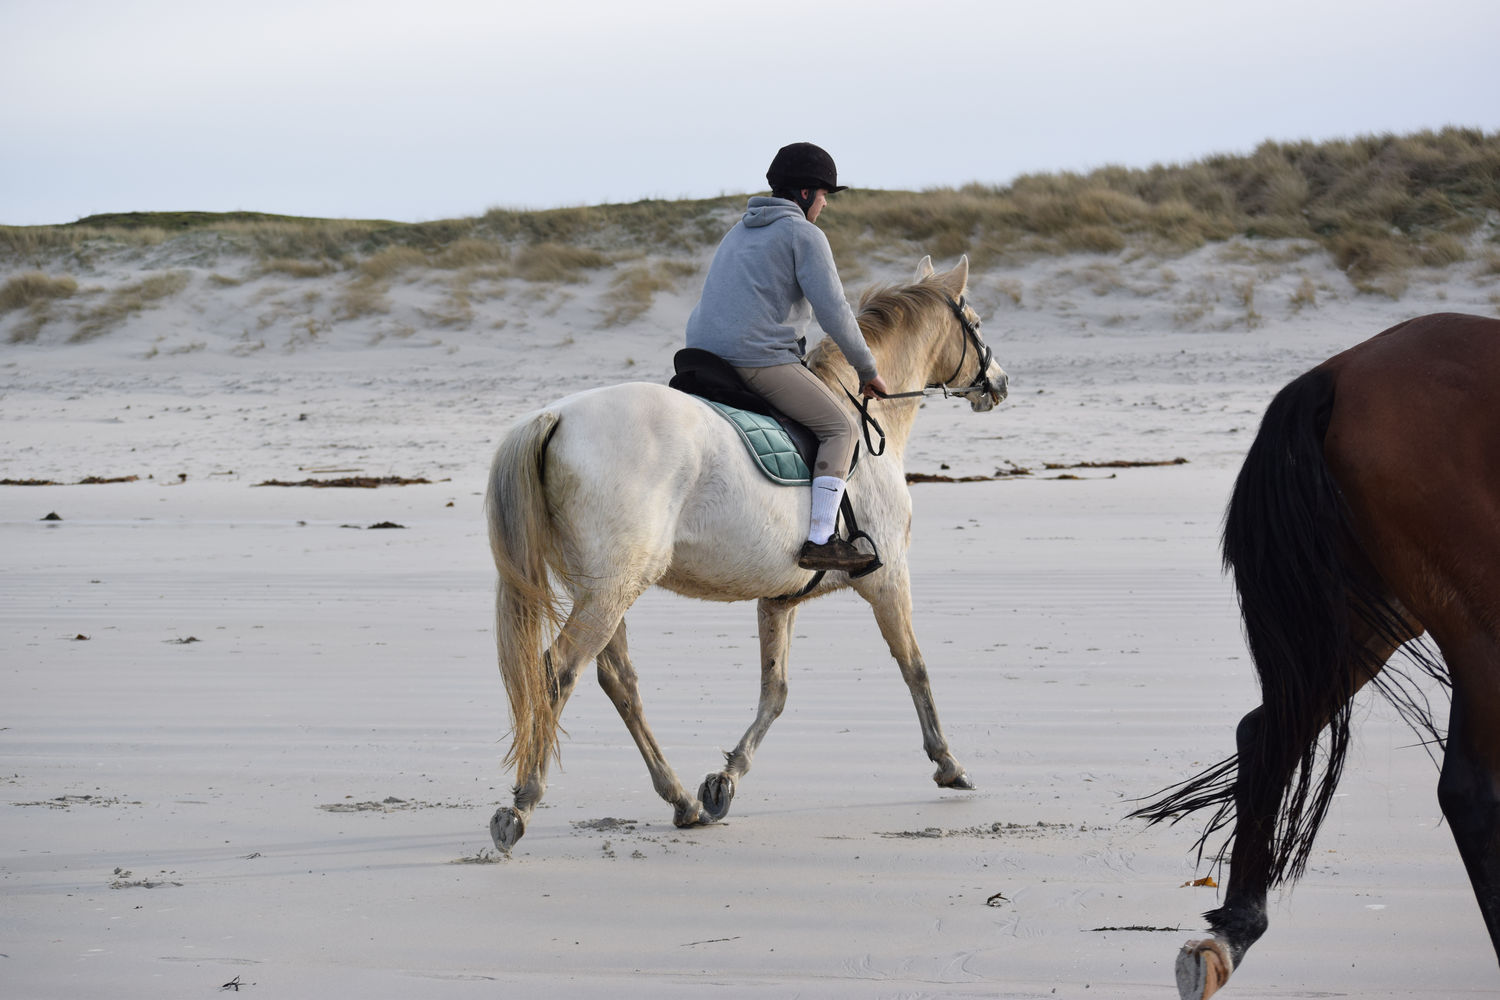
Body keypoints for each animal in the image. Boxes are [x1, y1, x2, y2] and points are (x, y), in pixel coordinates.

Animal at [486, 256, 1014, 851]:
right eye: (975, 321)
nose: (999, 382)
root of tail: (556, 417)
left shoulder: (779, 600)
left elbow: (774, 691)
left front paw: (725, 779)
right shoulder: (887, 580)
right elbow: (915, 667)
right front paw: (948, 764)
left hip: (604, 592)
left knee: (618, 683)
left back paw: (681, 800)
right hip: (609, 594)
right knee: (556, 673)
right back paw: (523, 804)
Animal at [1134, 313, 1500, 1000]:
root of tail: (1338, 372)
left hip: (1368, 616)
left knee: (1267, 733)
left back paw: (1235, 932)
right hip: (1475, 616)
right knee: (1469, 790)